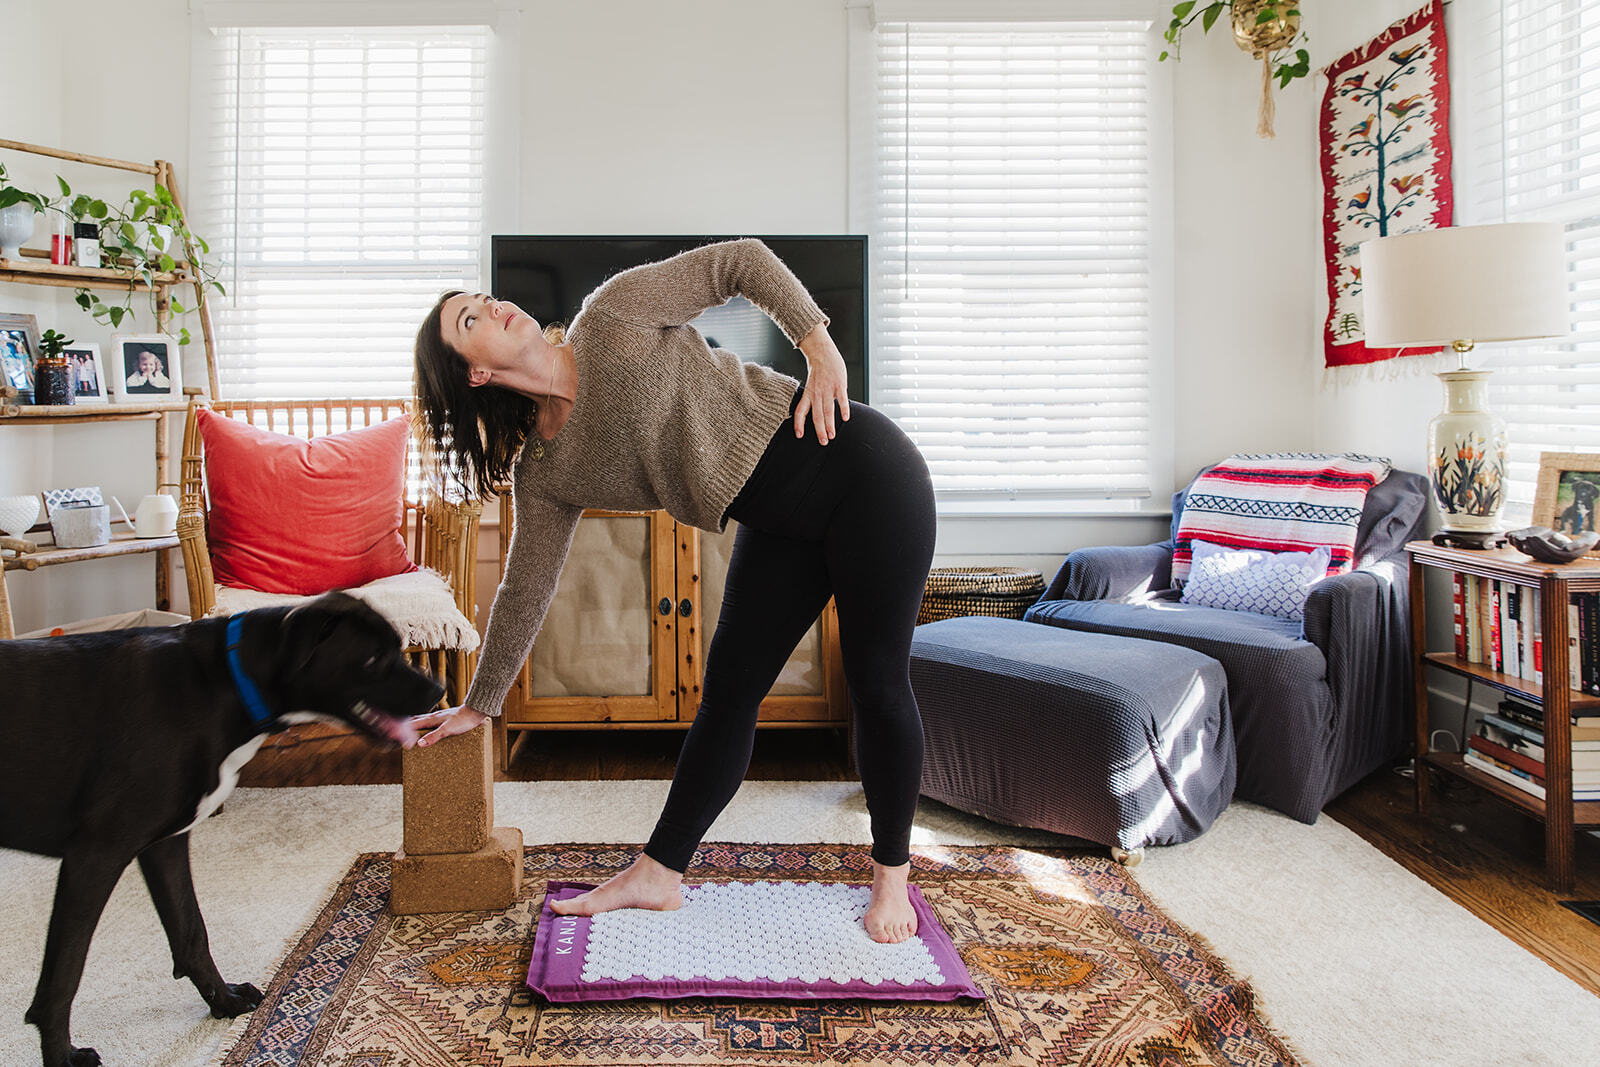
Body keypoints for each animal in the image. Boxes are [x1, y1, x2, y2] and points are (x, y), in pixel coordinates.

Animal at [0, 591, 444, 1067]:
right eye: (374, 657)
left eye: (398, 647)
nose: (438, 691)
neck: (226, 681)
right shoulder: (95, 854)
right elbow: (64, 973)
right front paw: (61, 1056)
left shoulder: (166, 843)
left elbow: (191, 931)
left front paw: (225, 1002)